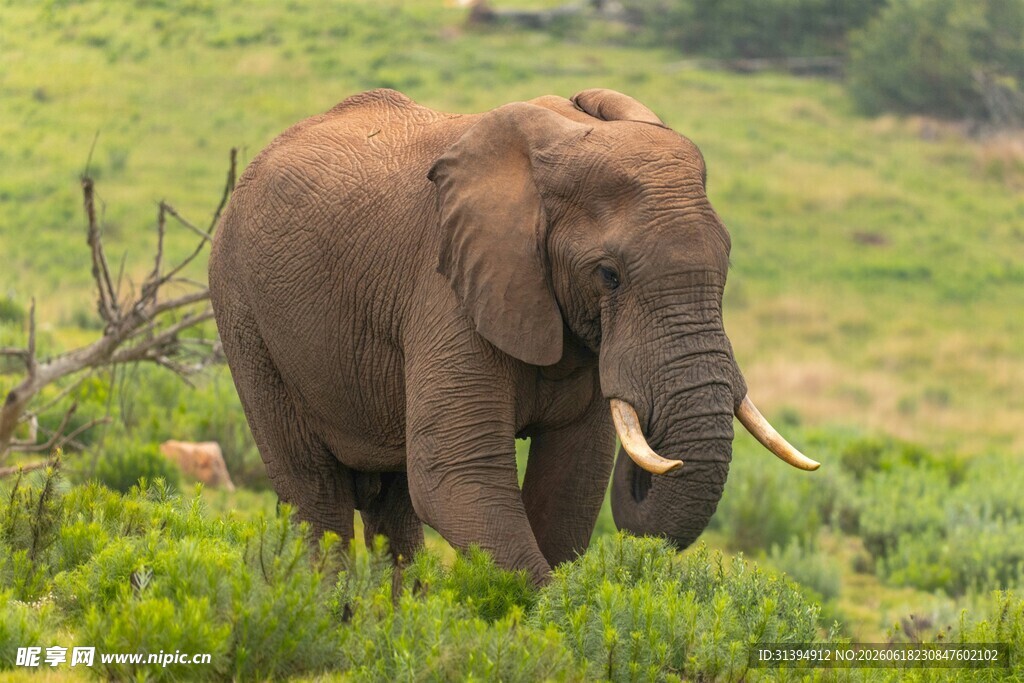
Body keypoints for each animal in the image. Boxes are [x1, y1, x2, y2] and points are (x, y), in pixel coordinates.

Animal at [209, 88, 818, 584]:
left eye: (726, 266)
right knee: (314, 491)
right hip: (244, 313)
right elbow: (458, 475)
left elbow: (570, 482)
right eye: (609, 275)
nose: (660, 462)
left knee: (392, 503)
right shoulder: (448, 289)